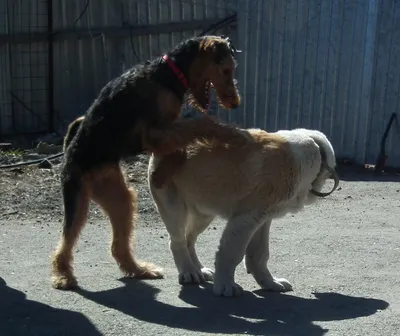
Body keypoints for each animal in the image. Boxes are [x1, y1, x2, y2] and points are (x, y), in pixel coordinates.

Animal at [51, 36, 242, 288]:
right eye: (226, 70)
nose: (235, 103)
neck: (168, 73)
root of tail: (69, 151)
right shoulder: (152, 133)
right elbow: (200, 125)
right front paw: (227, 132)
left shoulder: (162, 134)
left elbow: (181, 147)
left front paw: (163, 172)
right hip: (77, 197)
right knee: (65, 241)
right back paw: (63, 276)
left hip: (120, 199)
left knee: (118, 245)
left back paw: (140, 269)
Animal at [148, 126, 340, 296]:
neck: (317, 153)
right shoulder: (246, 218)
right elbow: (230, 253)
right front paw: (225, 285)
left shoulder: (263, 219)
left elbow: (260, 254)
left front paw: (269, 282)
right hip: (174, 207)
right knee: (178, 241)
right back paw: (188, 271)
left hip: (204, 212)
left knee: (189, 239)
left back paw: (199, 269)